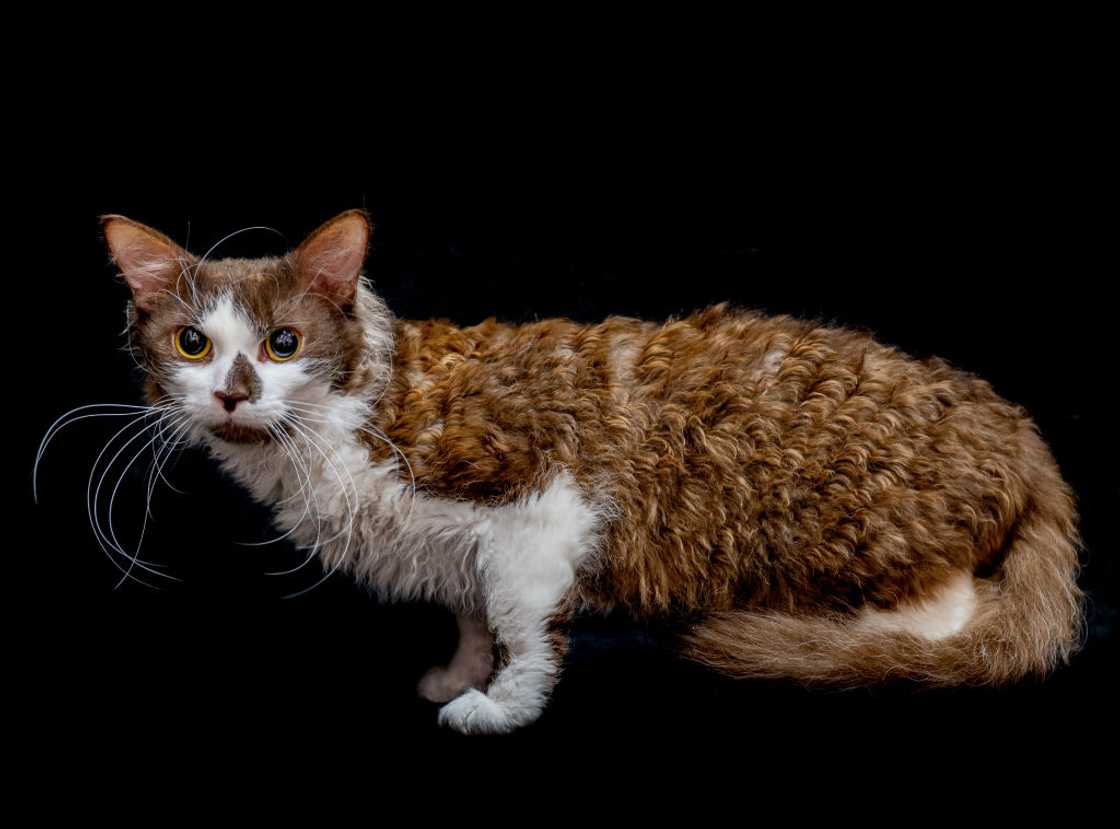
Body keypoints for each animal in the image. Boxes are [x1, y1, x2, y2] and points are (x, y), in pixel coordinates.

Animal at [82, 210, 1079, 734]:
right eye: (192, 343)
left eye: (282, 344)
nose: (232, 393)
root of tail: (1012, 425)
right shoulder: (458, 547)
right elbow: (471, 614)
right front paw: (459, 673)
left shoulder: (541, 507)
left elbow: (523, 625)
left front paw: (495, 706)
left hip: (851, 519)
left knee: (953, 621)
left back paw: (839, 640)